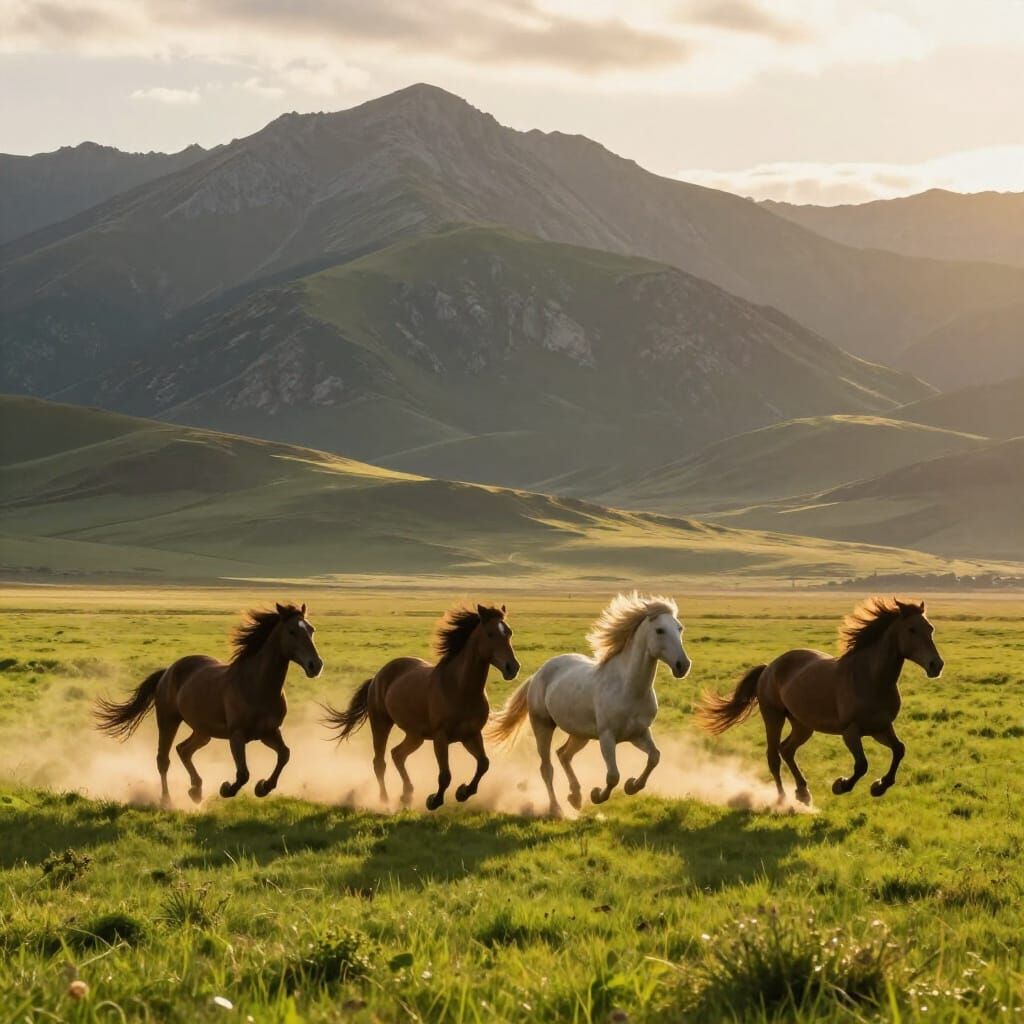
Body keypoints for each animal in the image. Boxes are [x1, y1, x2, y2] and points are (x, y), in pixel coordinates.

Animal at [94, 603, 323, 807]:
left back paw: (196, 790)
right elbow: (243, 773)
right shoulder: (237, 735)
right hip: (168, 721)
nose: (316, 665)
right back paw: (167, 800)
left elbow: (284, 755)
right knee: (163, 759)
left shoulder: (269, 732)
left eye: (311, 629)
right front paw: (226, 789)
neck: (256, 685)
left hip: (203, 731)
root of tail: (168, 670)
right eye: (292, 631)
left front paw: (263, 787)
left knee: (183, 750)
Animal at [322, 604, 519, 811]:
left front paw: (463, 792)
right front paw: (433, 800)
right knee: (380, 762)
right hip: (381, 723)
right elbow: (445, 775)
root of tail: (377, 676)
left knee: (397, 754)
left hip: (415, 735)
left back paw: (407, 794)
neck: (460, 689)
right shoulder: (440, 738)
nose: (512, 668)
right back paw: (385, 800)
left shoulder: (471, 735)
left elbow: (483, 764)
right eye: (490, 633)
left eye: (509, 632)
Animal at [488, 592, 691, 816]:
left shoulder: (639, 733)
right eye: (660, 630)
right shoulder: (607, 736)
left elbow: (654, 757)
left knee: (563, 755)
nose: (683, 665)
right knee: (547, 768)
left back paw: (575, 797)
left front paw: (632, 786)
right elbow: (613, 775)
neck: (629, 688)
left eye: (679, 628)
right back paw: (557, 808)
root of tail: (537, 675)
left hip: (580, 734)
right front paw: (596, 795)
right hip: (543, 725)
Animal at [696, 597, 943, 805]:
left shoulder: (881, 728)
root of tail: (769, 667)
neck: (870, 678)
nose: (936, 665)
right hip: (773, 716)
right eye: (911, 629)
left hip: (803, 724)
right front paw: (840, 785)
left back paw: (803, 792)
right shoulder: (851, 731)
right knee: (774, 756)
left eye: (930, 628)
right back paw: (783, 799)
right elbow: (862, 765)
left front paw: (879, 787)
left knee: (787, 750)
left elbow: (899, 750)